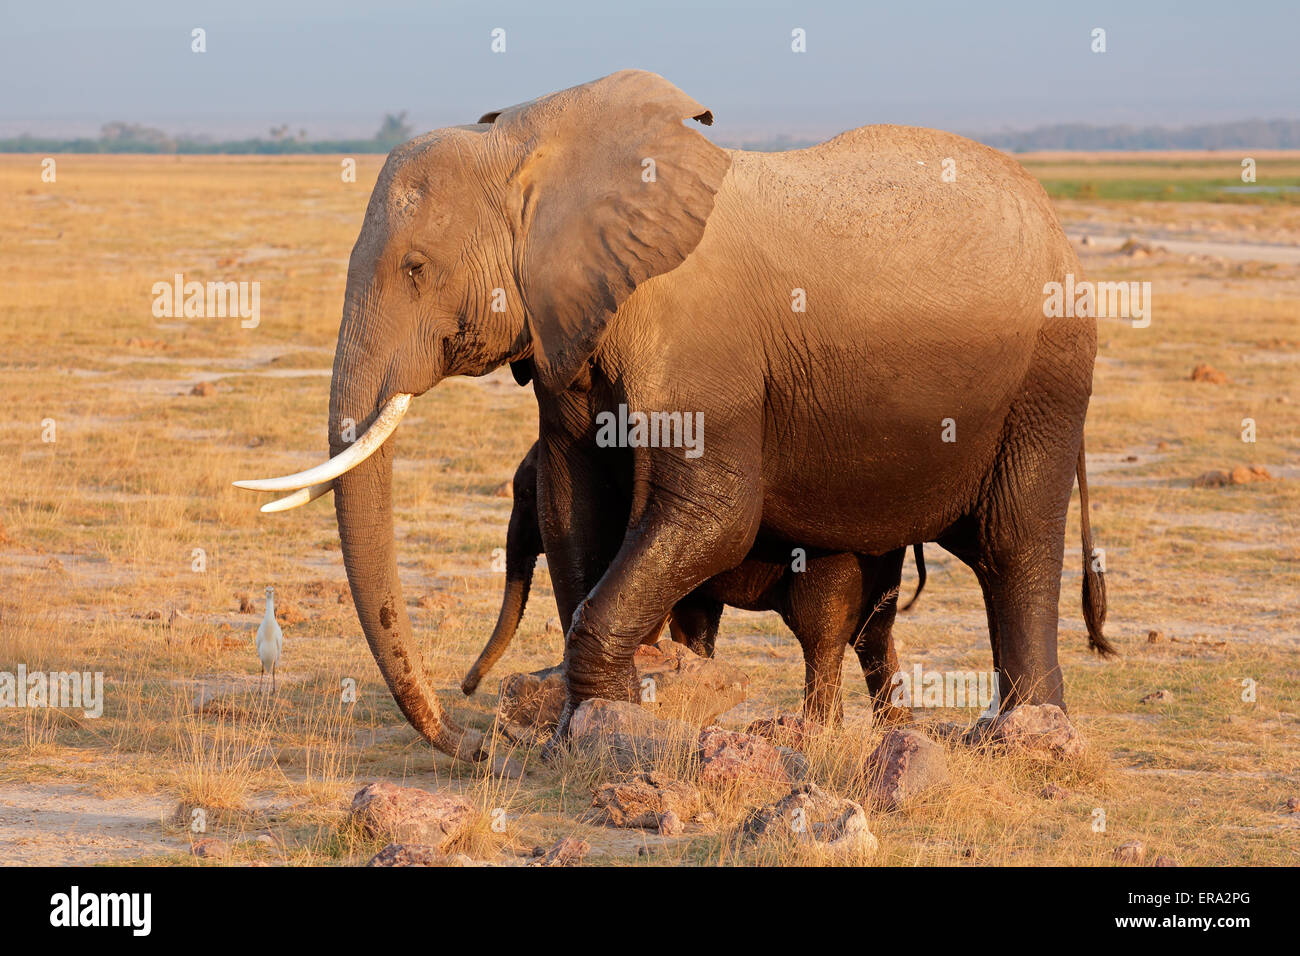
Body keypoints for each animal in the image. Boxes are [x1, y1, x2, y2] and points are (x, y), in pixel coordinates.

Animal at [465, 444, 925, 723]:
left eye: (526, 496)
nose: (468, 688)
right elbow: (692, 620)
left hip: (834, 558)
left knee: (821, 636)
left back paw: (819, 733)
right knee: (873, 633)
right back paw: (893, 731)